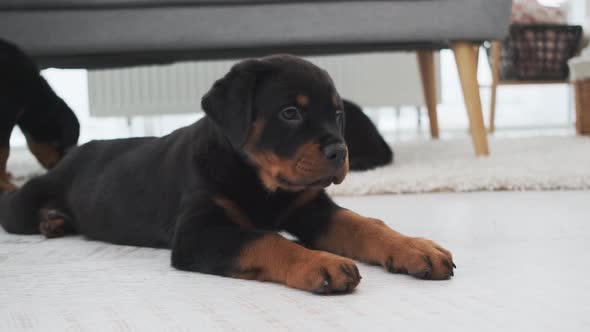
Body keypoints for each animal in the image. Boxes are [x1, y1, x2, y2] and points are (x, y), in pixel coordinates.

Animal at [0, 55, 456, 294]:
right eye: (290, 113)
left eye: (338, 114)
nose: (340, 152)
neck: (261, 182)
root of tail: (71, 156)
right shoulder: (198, 232)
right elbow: (264, 239)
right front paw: (321, 262)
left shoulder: (311, 208)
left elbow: (365, 224)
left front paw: (415, 248)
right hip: (25, 206)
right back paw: (49, 217)